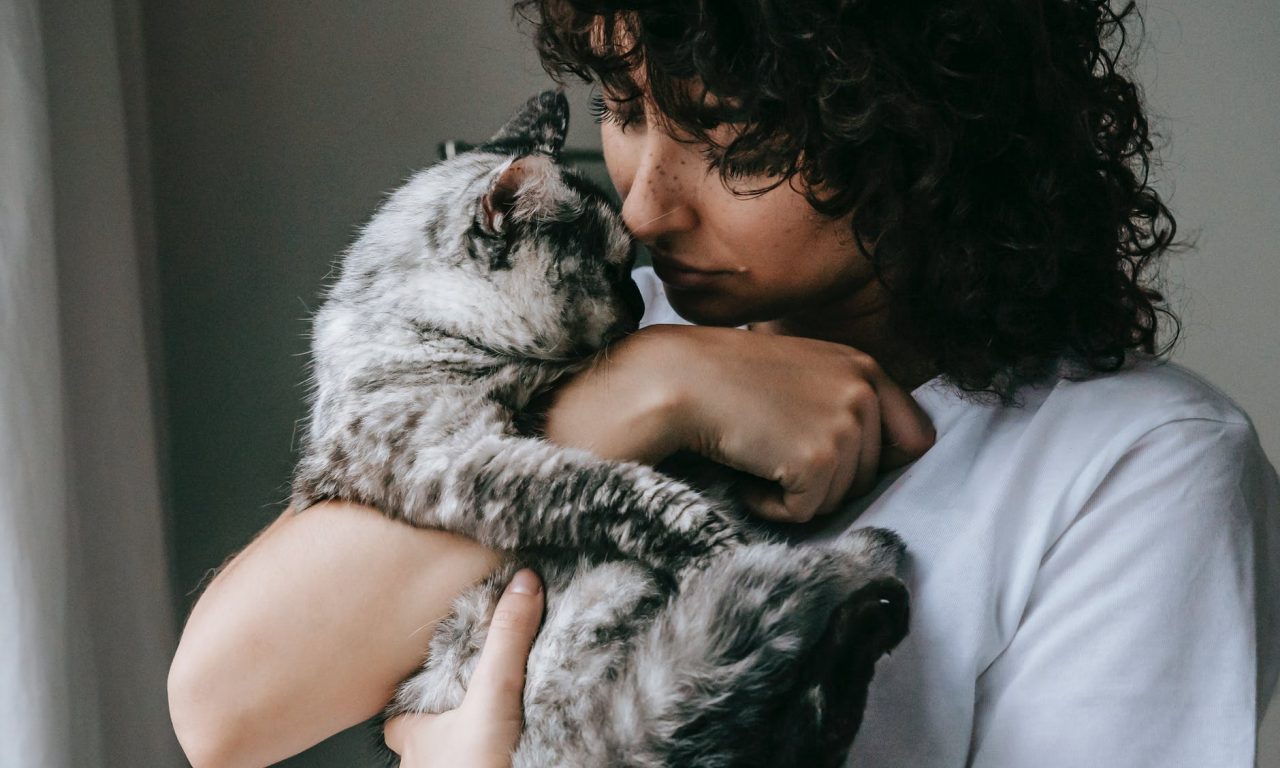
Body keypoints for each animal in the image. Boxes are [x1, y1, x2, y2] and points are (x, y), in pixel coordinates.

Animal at [293, 91, 911, 768]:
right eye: (612, 269)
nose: (641, 308)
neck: (420, 321)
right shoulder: (467, 459)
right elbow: (623, 490)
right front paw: (718, 537)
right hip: (614, 612)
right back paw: (858, 578)